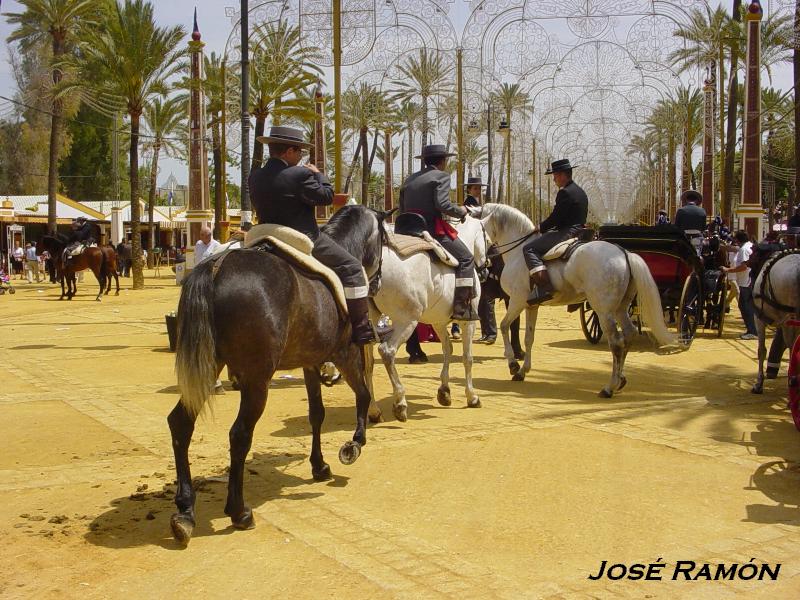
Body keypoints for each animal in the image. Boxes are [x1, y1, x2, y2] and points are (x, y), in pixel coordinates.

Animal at [368, 216, 488, 422]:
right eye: (487, 238)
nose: (486, 268)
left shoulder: (438, 321)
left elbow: (448, 348)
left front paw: (444, 391)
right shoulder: (469, 322)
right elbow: (467, 357)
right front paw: (472, 396)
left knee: (366, 362)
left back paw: (373, 411)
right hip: (406, 321)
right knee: (387, 351)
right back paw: (400, 403)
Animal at [468, 204, 680, 396]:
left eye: (479, 233)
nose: (482, 267)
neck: (519, 251)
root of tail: (624, 253)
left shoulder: (517, 301)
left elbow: (504, 326)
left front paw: (513, 364)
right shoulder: (531, 306)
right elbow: (529, 337)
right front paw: (522, 371)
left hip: (604, 311)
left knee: (616, 342)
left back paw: (609, 387)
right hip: (620, 308)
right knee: (629, 334)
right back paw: (620, 380)